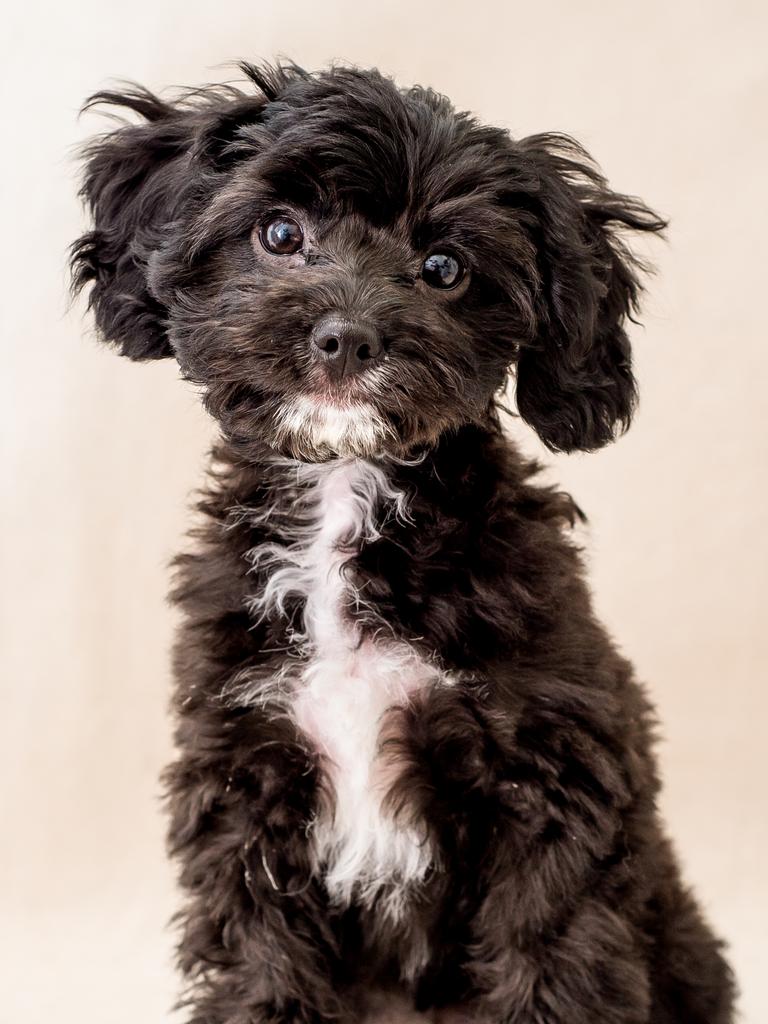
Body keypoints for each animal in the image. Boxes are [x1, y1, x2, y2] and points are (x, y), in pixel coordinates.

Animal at [73, 59, 741, 1019]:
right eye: (280, 232)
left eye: (444, 268)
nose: (348, 337)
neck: (346, 495)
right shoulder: (247, 783)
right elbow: (262, 968)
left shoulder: (550, 788)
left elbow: (550, 961)